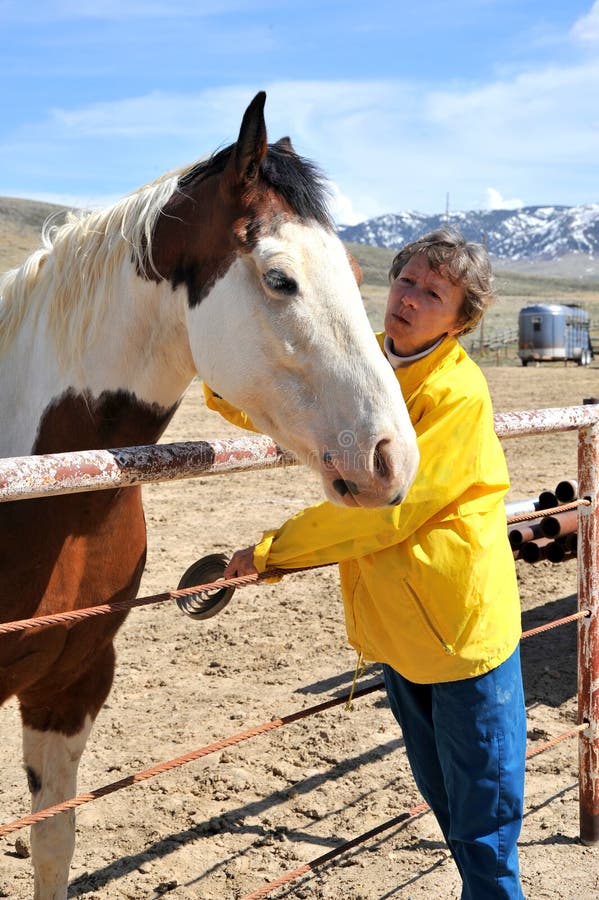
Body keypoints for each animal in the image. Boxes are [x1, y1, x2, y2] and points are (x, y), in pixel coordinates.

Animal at [0, 93, 420, 900]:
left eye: (357, 270)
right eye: (280, 278)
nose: (393, 458)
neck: (47, 491)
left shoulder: (73, 683)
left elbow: (52, 845)